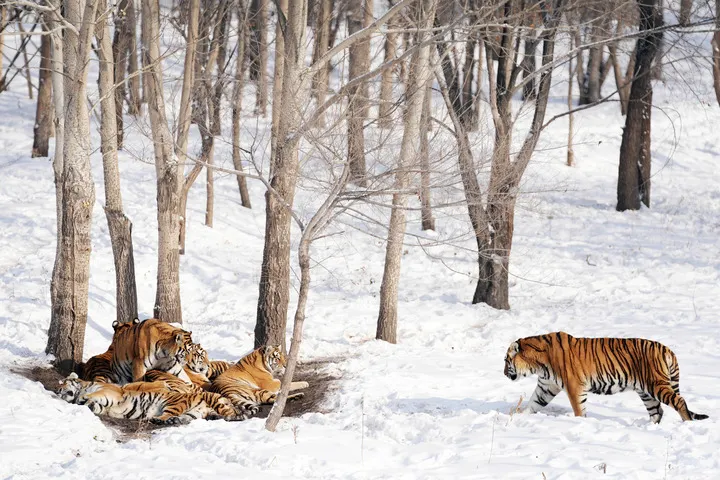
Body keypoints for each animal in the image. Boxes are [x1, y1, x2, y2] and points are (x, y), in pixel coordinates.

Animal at [56, 372, 242, 424]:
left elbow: (92, 395)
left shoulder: (110, 392)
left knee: (167, 414)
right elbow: (94, 405)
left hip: (173, 403)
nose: (59, 392)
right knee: (185, 417)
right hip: (193, 412)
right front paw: (85, 404)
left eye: (62, 384)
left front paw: (83, 398)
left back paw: (159, 420)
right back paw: (175, 421)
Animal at [504, 332, 712, 422]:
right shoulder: (546, 386)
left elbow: (579, 409)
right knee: (657, 411)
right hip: (646, 392)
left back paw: (687, 424)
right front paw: (521, 416)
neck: (539, 365)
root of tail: (668, 349)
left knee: (679, 401)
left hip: (657, 385)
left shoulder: (574, 386)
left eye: (506, 361)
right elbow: (534, 403)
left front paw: (581, 423)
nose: (505, 373)